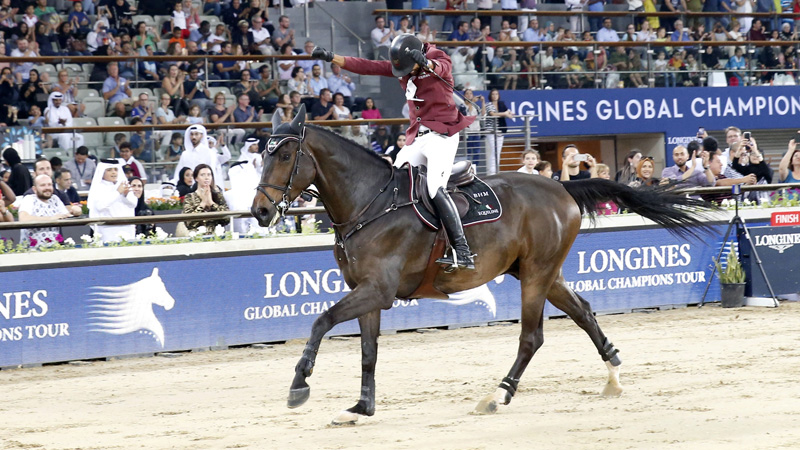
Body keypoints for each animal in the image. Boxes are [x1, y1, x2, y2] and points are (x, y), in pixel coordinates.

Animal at [252, 106, 712, 426]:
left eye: (287, 154)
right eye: (262, 155)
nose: (259, 211)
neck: (371, 203)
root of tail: (560, 187)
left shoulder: (376, 290)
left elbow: (321, 321)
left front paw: (299, 383)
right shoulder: (368, 294)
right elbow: (368, 352)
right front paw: (361, 408)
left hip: (537, 276)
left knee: (532, 337)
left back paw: (499, 394)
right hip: (541, 272)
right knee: (583, 312)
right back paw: (613, 375)